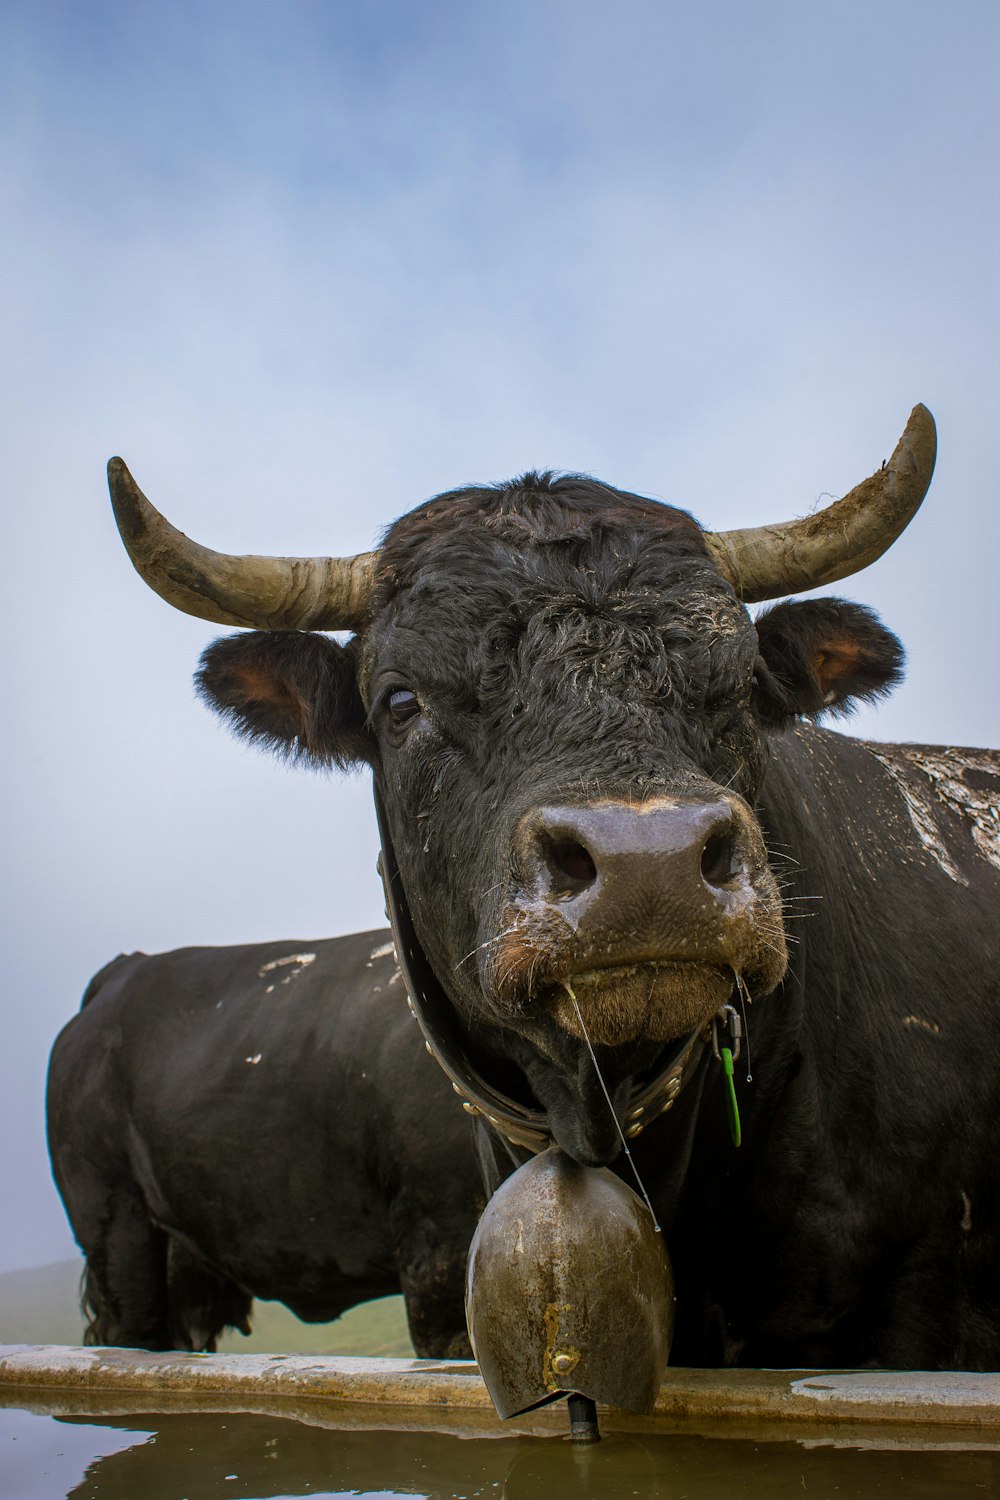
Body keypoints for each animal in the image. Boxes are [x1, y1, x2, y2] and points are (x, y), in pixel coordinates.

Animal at [46, 414, 1000, 1374]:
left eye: (740, 682)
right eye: (401, 701)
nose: (649, 864)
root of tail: (118, 977)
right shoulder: (437, 1268)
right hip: (122, 1245)